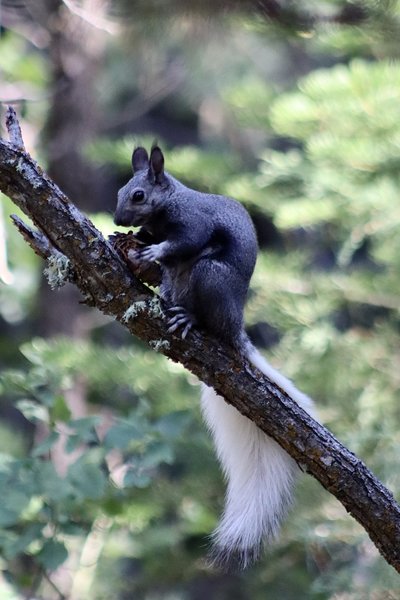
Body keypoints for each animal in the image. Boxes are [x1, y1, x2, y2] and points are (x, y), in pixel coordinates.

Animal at [113, 145, 316, 572]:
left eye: (138, 195)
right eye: (121, 190)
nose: (118, 218)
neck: (168, 206)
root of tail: (234, 324)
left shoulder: (194, 222)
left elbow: (186, 241)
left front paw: (154, 248)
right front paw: (130, 239)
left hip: (211, 277)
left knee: (204, 303)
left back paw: (189, 317)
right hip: (176, 284)